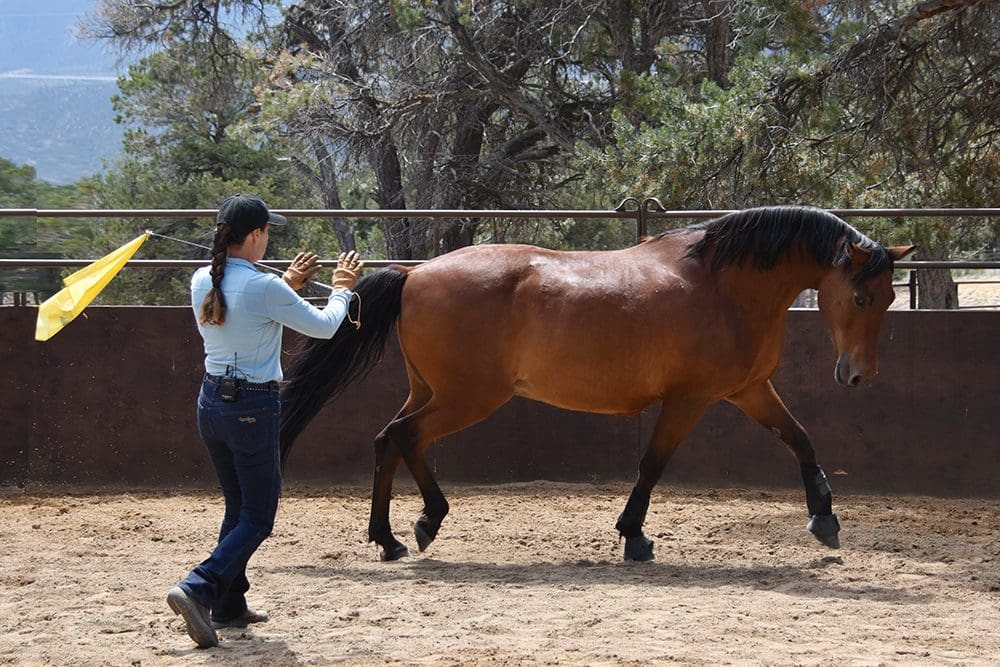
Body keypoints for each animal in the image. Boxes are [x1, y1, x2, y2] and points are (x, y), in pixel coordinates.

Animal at [280, 206, 916, 560]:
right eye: (860, 298)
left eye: (889, 297)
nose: (858, 373)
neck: (724, 287)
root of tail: (416, 276)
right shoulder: (689, 400)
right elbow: (652, 465)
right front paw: (634, 536)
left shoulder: (750, 390)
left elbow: (801, 439)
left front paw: (825, 519)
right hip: (468, 398)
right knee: (402, 437)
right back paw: (419, 524)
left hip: (433, 391)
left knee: (391, 440)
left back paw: (393, 537)